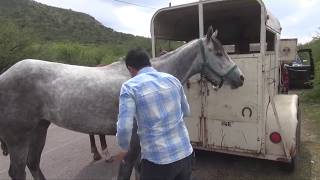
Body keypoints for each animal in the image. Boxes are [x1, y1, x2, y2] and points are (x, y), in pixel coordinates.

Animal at [0, 26, 242, 180]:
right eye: (218, 53)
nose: (240, 78)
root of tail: (5, 75)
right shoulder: (134, 139)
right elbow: (127, 169)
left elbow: (138, 170)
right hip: (18, 139)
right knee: (18, 172)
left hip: (39, 129)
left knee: (33, 164)